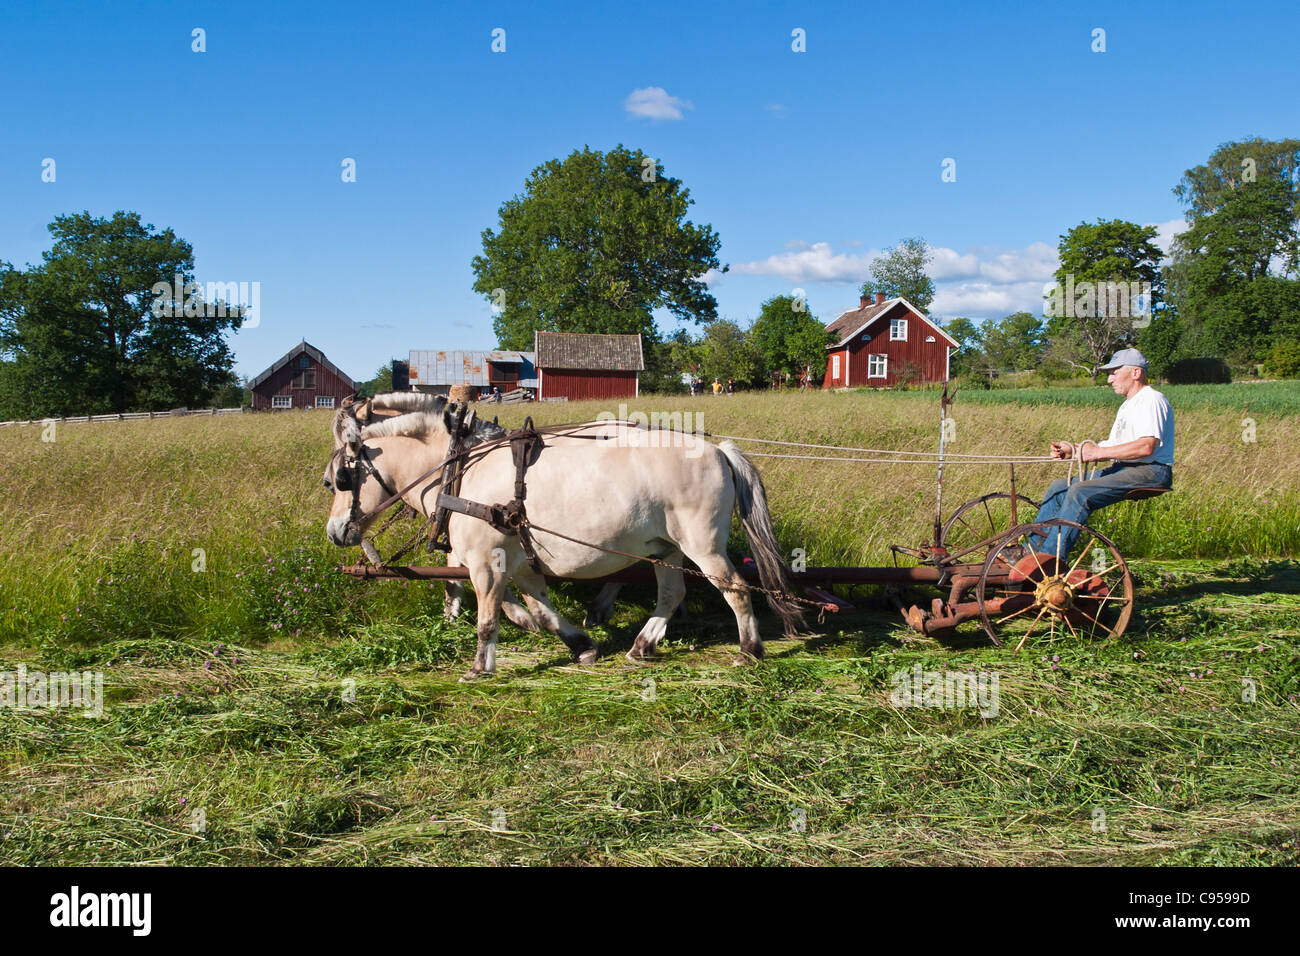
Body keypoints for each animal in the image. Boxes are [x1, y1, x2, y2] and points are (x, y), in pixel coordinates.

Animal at [325, 392, 800, 686]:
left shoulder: (487, 562)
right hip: (667, 549)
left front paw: (480, 668)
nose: (334, 532)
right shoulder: (521, 563)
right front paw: (582, 646)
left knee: (736, 589)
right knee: (670, 593)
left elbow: (487, 618)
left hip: (701, 546)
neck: (461, 470)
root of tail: (720, 451)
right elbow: (542, 611)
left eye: (340, 479)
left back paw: (749, 650)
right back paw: (642, 646)